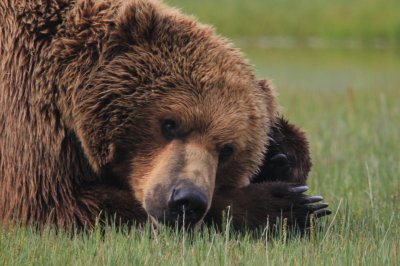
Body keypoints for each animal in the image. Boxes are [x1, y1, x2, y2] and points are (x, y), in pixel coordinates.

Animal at [0, 0, 332, 230]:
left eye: (227, 149)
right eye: (169, 123)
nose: (186, 201)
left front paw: (280, 157)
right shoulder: (31, 116)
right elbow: (52, 203)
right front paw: (284, 204)